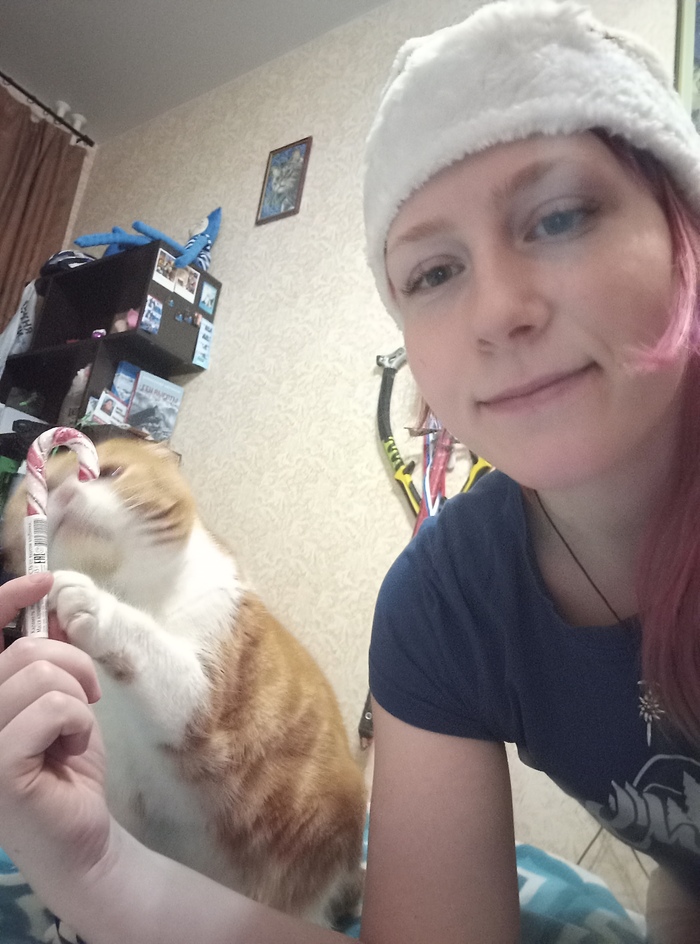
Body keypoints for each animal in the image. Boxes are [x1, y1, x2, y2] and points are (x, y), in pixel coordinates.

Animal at [1, 437, 366, 926]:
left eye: (108, 473)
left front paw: (90, 601)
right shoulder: (118, 787)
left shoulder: (205, 698)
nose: (64, 491)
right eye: (38, 494)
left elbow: (153, 652)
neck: (134, 591)